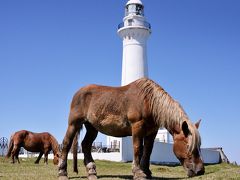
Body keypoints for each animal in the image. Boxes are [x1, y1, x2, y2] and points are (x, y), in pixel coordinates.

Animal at [58, 77, 204, 180]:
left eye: (199, 146)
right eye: (188, 146)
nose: (200, 170)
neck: (149, 101)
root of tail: (79, 92)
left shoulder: (152, 132)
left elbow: (148, 151)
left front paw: (147, 172)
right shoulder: (137, 127)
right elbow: (138, 149)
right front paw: (138, 173)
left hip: (92, 128)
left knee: (86, 145)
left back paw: (92, 172)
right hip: (74, 124)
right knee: (66, 143)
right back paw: (62, 173)